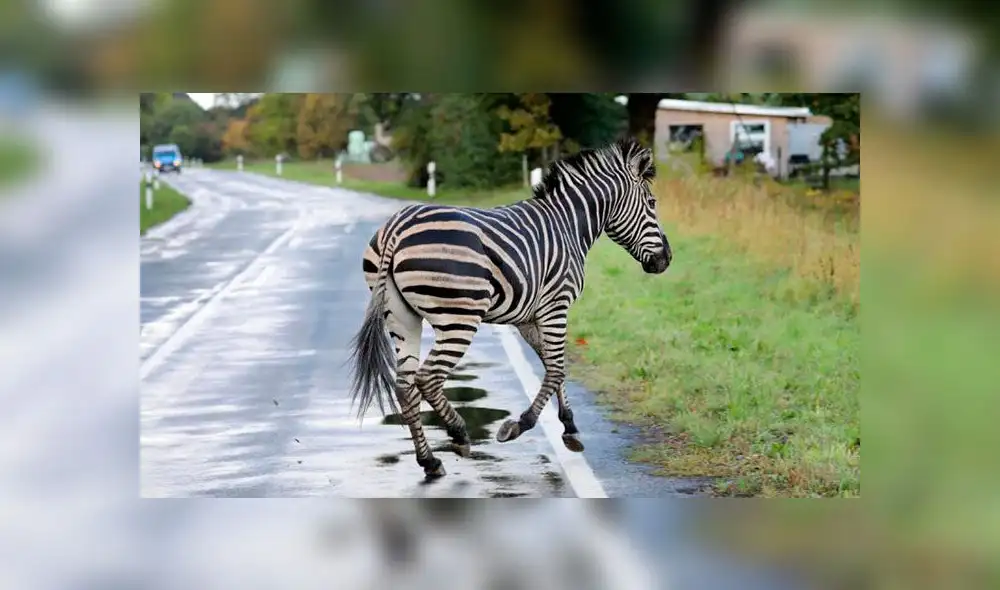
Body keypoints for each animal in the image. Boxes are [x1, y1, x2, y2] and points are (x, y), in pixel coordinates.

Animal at [349, 137, 672, 479]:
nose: (666, 259)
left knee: (405, 386)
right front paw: (520, 425)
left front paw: (570, 427)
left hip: (401, 317)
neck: (568, 225)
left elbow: (553, 365)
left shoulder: (528, 317)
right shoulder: (556, 306)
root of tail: (397, 226)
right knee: (427, 378)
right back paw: (459, 434)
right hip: (458, 318)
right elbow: (556, 368)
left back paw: (430, 461)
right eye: (652, 202)